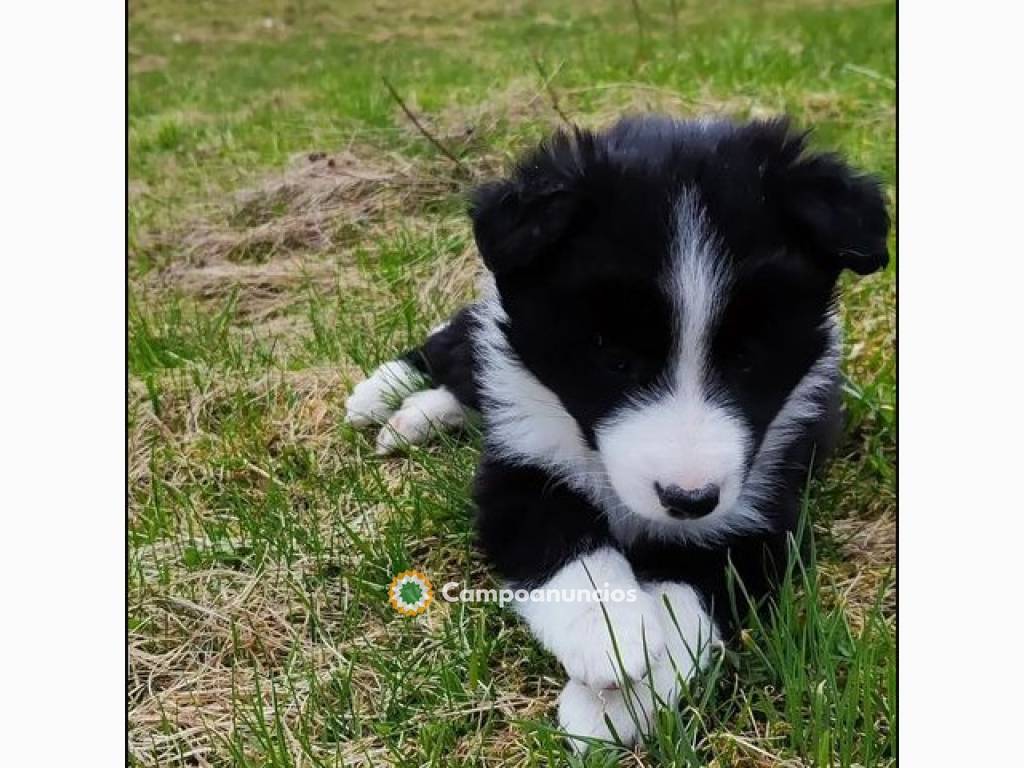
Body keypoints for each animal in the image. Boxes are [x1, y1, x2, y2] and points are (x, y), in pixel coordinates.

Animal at [344, 115, 888, 753]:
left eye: (748, 359)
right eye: (613, 357)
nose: (688, 500)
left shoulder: (762, 509)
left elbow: (693, 593)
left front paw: (619, 700)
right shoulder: (519, 469)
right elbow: (560, 538)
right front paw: (609, 633)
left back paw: (416, 415)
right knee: (452, 343)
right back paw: (382, 397)